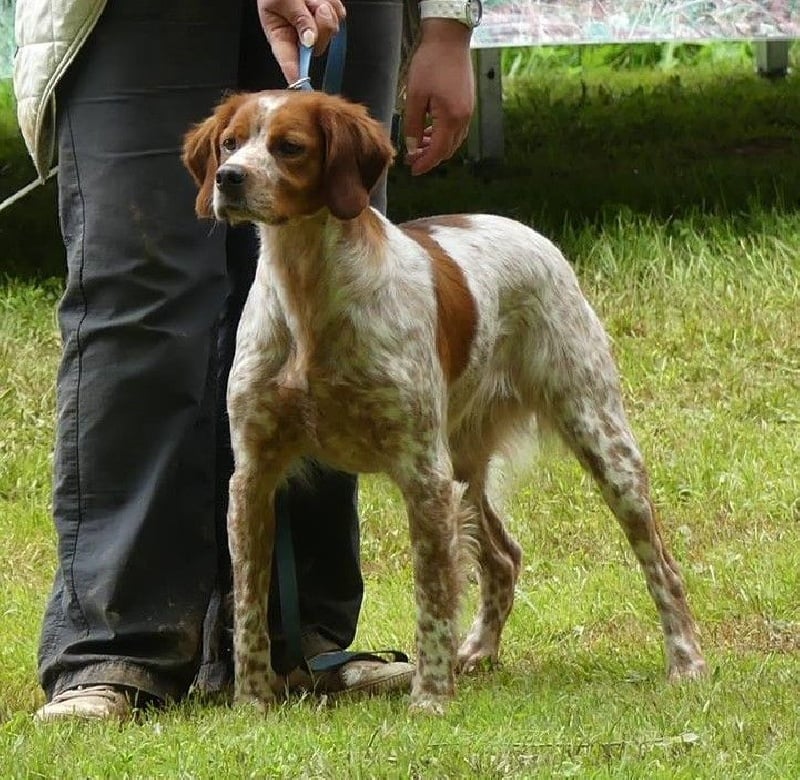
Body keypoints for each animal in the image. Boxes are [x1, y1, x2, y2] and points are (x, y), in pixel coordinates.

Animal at [183, 91, 708, 712]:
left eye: (290, 147)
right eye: (229, 143)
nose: (230, 179)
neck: (310, 297)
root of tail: (518, 226)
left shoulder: (422, 473)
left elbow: (431, 595)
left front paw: (430, 697)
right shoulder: (253, 477)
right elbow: (249, 608)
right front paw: (253, 703)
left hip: (599, 438)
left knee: (661, 564)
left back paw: (686, 660)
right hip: (464, 464)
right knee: (504, 556)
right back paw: (478, 650)